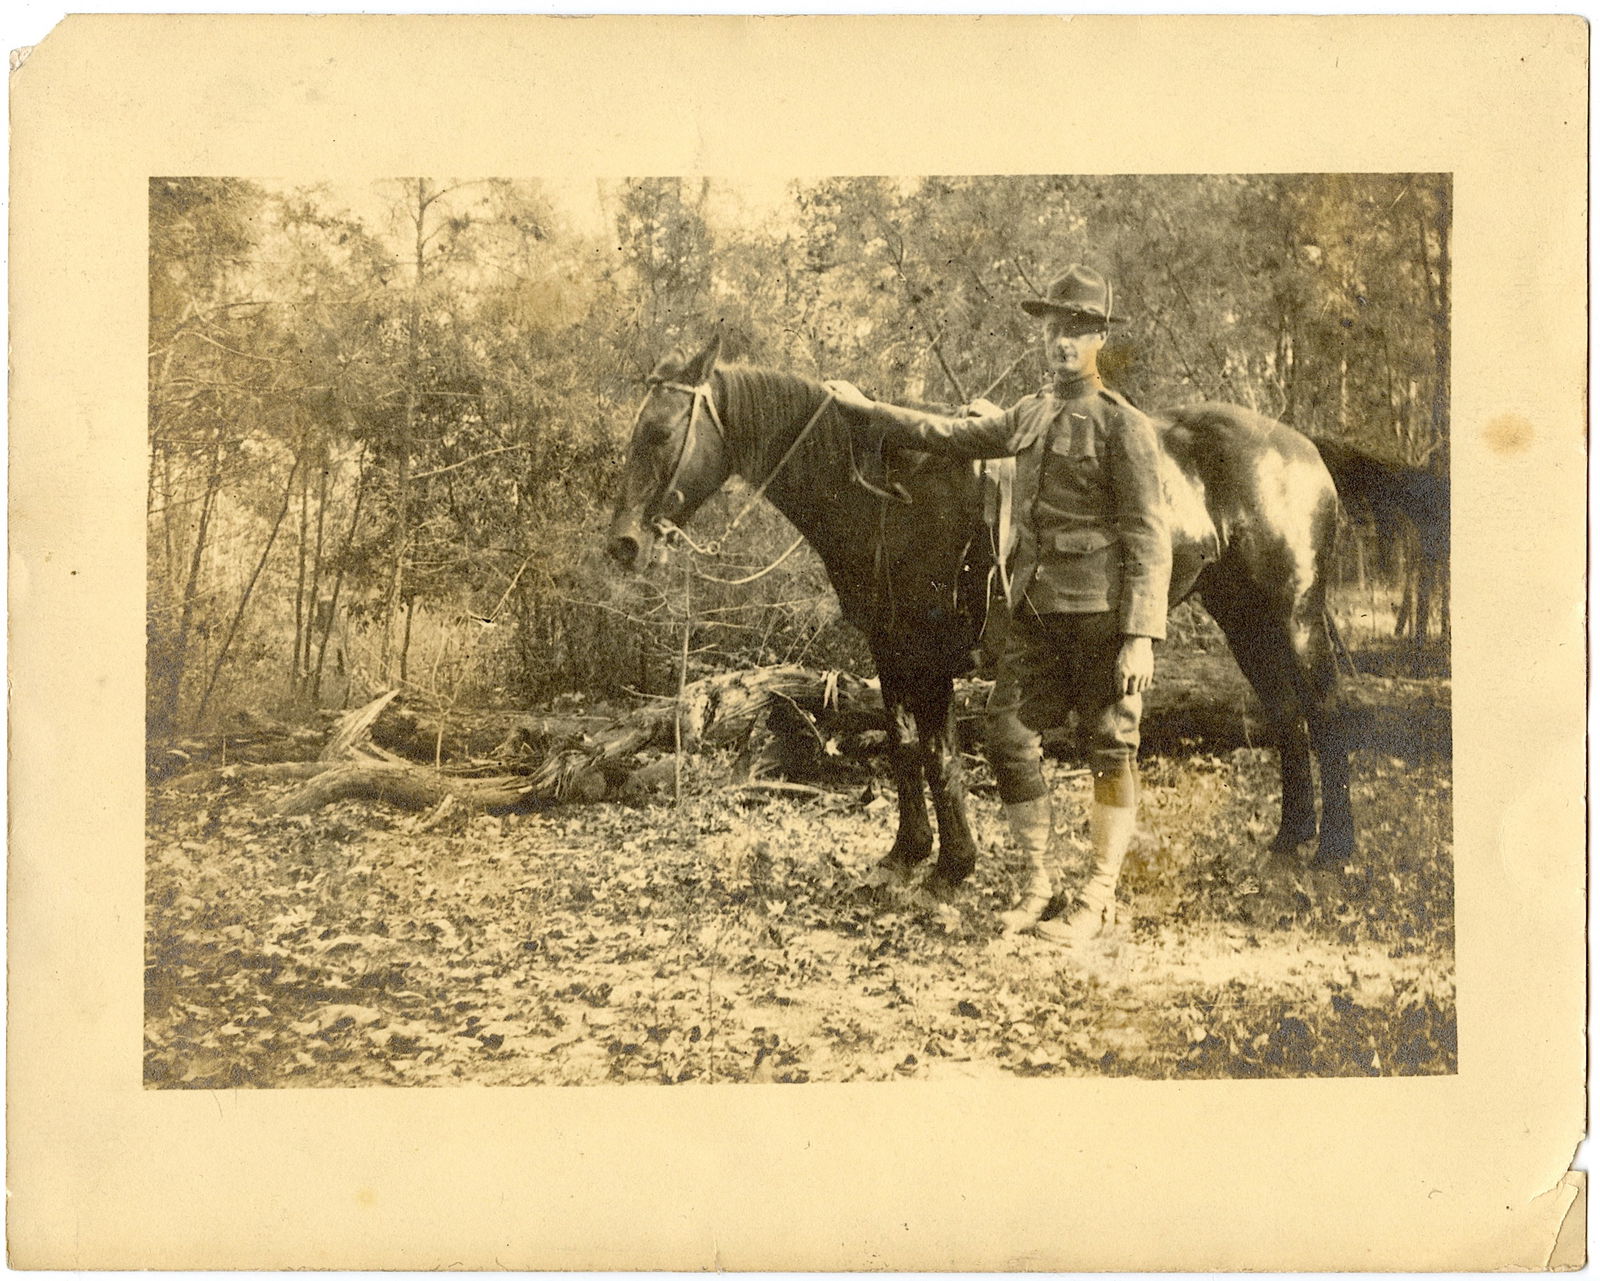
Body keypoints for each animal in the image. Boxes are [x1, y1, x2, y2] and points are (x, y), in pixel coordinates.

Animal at [607, 332, 1359, 898]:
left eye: (662, 432)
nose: (623, 543)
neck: (891, 492)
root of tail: (1301, 447)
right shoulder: (889, 651)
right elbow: (905, 747)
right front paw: (907, 854)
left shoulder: (929, 654)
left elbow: (937, 753)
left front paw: (951, 865)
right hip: (1246, 621)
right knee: (1285, 715)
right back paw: (1289, 842)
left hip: (1293, 616)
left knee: (1324, 712)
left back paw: (1334, 851)